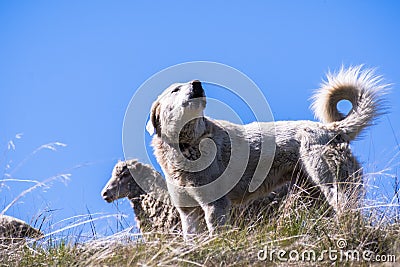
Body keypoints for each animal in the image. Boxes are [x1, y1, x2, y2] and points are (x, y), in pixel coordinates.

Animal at [145, 66, 386, 239]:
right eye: (175, 90)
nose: (197, 83)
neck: (187, 146)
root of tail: (332, 129)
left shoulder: (216, 206)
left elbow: (215, 234)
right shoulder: (188, 213)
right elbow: (191, 239)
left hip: (332, 183)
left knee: (347, 210)